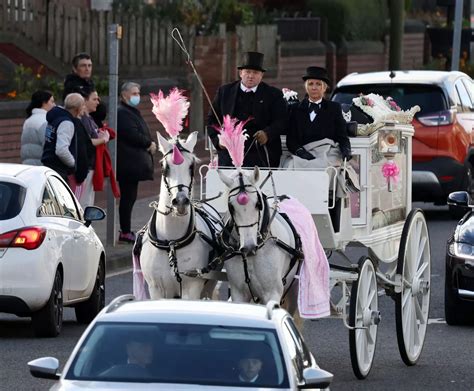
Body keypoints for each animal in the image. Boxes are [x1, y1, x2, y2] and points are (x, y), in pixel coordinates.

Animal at [133, 89, 222, 300]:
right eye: (165, 167)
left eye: (192, 166)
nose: (180, 201)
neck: (171, 242)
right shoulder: (156, 289)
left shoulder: (192, 288)